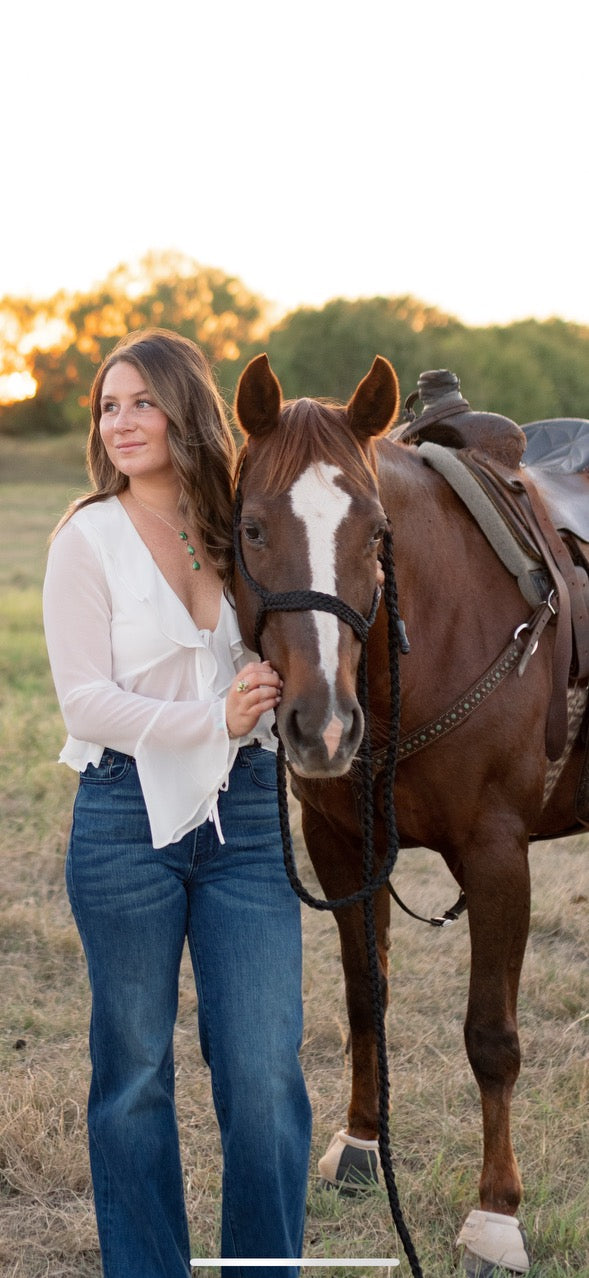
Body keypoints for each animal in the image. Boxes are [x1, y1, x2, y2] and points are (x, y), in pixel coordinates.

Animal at [232, 352, 588, 1276]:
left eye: (374, 535)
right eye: (250, 529)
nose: (321, 726)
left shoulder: (498, 857)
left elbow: (491, 1037)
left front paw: (494, 1218)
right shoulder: (338, 847)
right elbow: (365, 996)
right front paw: (360, 1146)